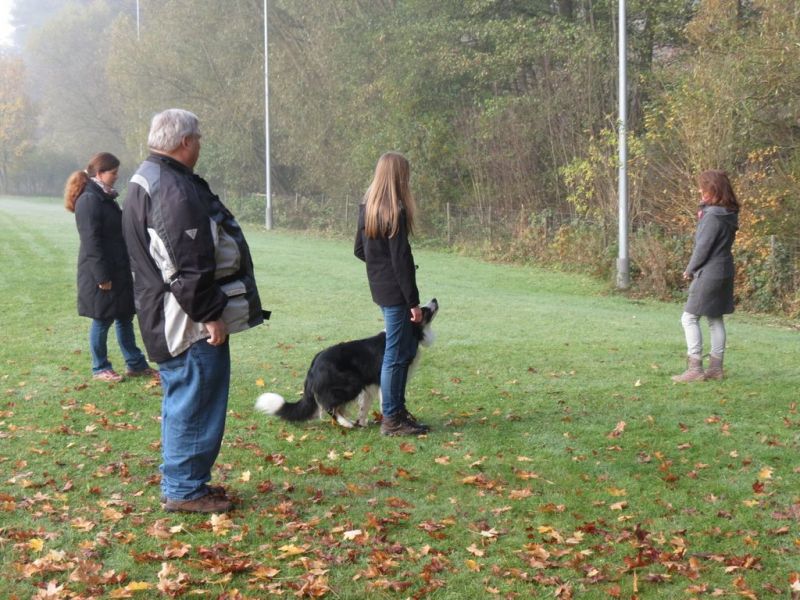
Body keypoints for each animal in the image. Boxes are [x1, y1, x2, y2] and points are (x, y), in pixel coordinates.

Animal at [255, 298, 438, 428]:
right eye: (423, 310)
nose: (435, 299)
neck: (412, 334)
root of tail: (314, 364)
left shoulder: (371, 383)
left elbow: (364, 405)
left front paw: (363, 423)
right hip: (351, 382)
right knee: (328, 406)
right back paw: (345, 423)